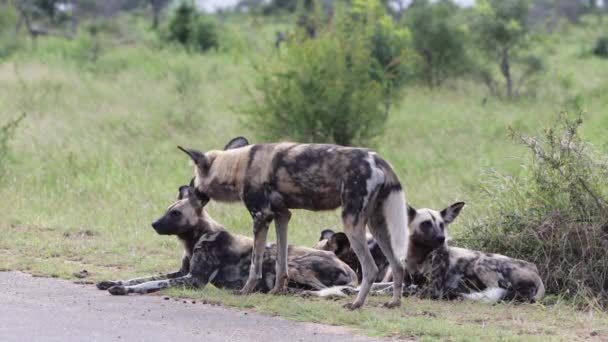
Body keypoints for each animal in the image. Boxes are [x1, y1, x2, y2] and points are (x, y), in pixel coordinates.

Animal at [95, 186, 356, 296]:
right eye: (167, 210)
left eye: (176, 214)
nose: (154, 224)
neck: (195, 239)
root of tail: (349, 268)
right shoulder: (180, 272)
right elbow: (141, 277)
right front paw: (112, 282)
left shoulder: (193, 280)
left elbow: (149, 283)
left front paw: (122, 289)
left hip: (292, 265)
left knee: (323, 290)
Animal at [178, 137, 410, 310]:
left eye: (194, 180)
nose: (188, 192)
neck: (239, 165)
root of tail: (377, 159)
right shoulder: (282, 215)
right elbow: (281, 262)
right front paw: (276, 291)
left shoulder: (261, 217)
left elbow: (255, 264)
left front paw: (245, 291)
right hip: (377, 226)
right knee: (398, 264)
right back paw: (394, 302)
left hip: (351, 223)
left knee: (370, 268)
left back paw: (356, 304)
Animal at [314, 202, 548, 304]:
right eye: (426, 224)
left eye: (442, 225)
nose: (442, 238)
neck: (418, 258)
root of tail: (537, 273)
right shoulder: (404, 280)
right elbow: (378, 286)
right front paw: (347, 290)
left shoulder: (426, 289)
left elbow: (386, 291)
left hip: (481, 263)